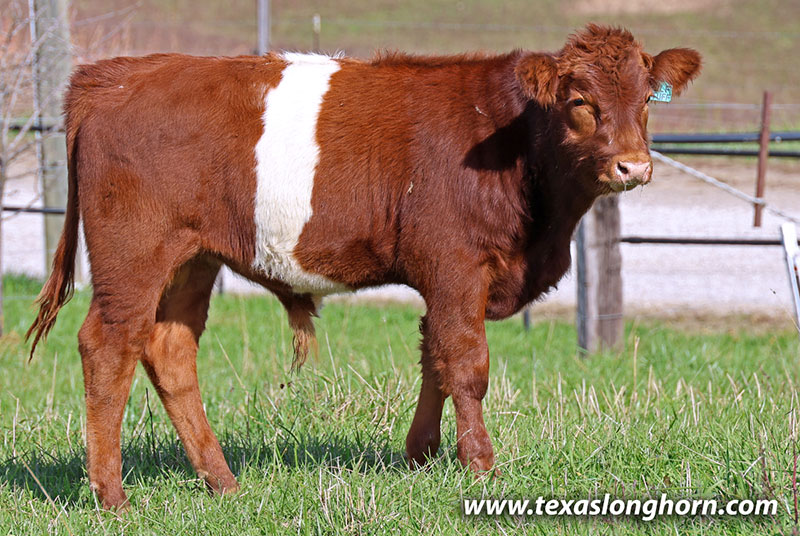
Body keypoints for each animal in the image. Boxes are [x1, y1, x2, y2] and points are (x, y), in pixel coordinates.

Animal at [27, 24, 701, 509]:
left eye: (647, 98)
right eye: (581, 101)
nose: (634, 166)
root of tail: (114, 74)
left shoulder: (443, 280)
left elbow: (435, 357)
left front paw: (421, 455)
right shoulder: (457, 267)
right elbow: (466, 363)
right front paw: (481, 467)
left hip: (191, 261)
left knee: (169, 351)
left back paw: (222, 483)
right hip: (134, 258)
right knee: (108, 347)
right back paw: (112, 496)